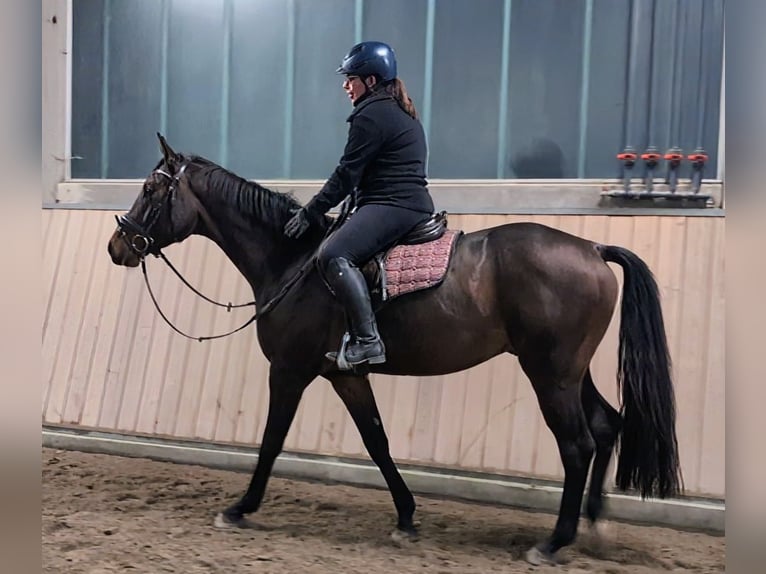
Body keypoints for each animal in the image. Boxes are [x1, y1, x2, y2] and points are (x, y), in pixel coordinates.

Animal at [103, 135, 684, 568]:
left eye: (151, 188)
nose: (117, 246)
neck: (292, 259)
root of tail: (592, 248)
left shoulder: (289, 371)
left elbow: (271, 441)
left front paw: (240, 508)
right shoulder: (345, 376)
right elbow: (377, 442)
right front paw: (406, 517)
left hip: (551, 375)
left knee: (577, 445)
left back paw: (554, 541)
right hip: (568, 372)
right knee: (606, 426)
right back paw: (595, 526)